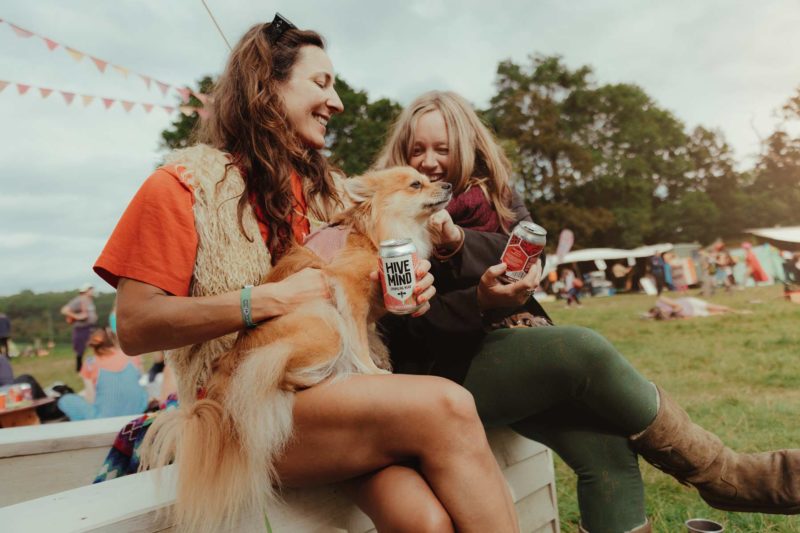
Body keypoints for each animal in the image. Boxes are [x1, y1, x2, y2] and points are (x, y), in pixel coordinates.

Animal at [141, 167, 454, 532]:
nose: (449, 183)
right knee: (284, 372)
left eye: (429, 178)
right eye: (417, 184)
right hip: (324, 323)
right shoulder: (348, 291)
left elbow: (367, 333)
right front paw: (372, 370)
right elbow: (358, 340)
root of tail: (223, 387)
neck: (376, 232)